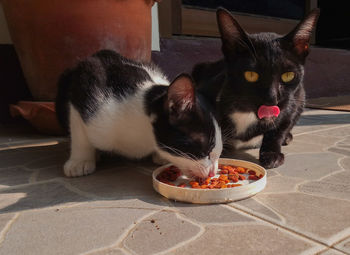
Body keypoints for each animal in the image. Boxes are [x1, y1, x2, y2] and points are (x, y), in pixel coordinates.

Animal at [56, 49, 223, 177]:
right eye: (206, 150)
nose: (213, 172)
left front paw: (161, 156)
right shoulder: (87, 87)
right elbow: (79, 131)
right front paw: (80, 161)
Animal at [194, 7, 320, 169]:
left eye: (288, 75)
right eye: (251, 75)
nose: (272, 98)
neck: (246, 112)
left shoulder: (296, 99)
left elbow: (280, 127)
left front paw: (272, 152)